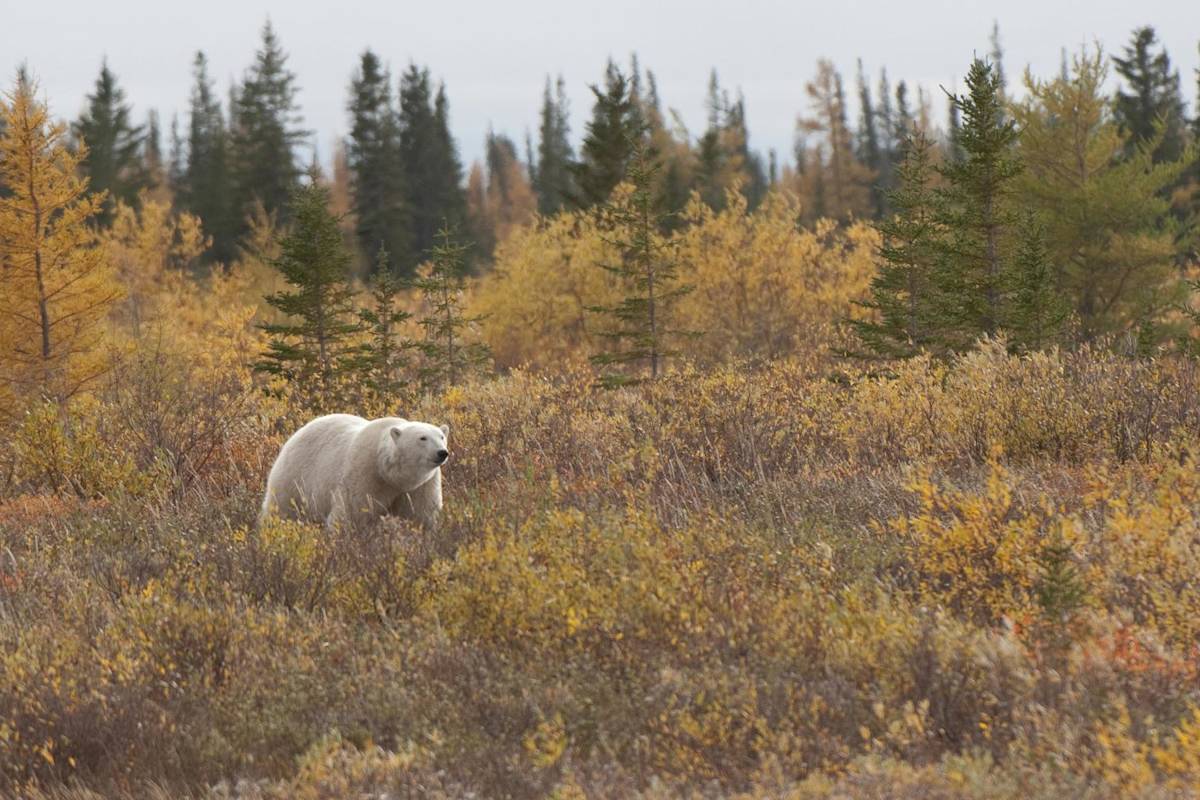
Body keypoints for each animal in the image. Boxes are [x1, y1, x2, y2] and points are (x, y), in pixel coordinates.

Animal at [259, 414, 449, 532]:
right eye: (423, 438)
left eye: (441, 436)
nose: (442, 452)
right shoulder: (364, 470)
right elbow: (351, 511)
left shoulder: (421, 484)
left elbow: (421, 513)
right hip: (295, 475)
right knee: (280, 508)